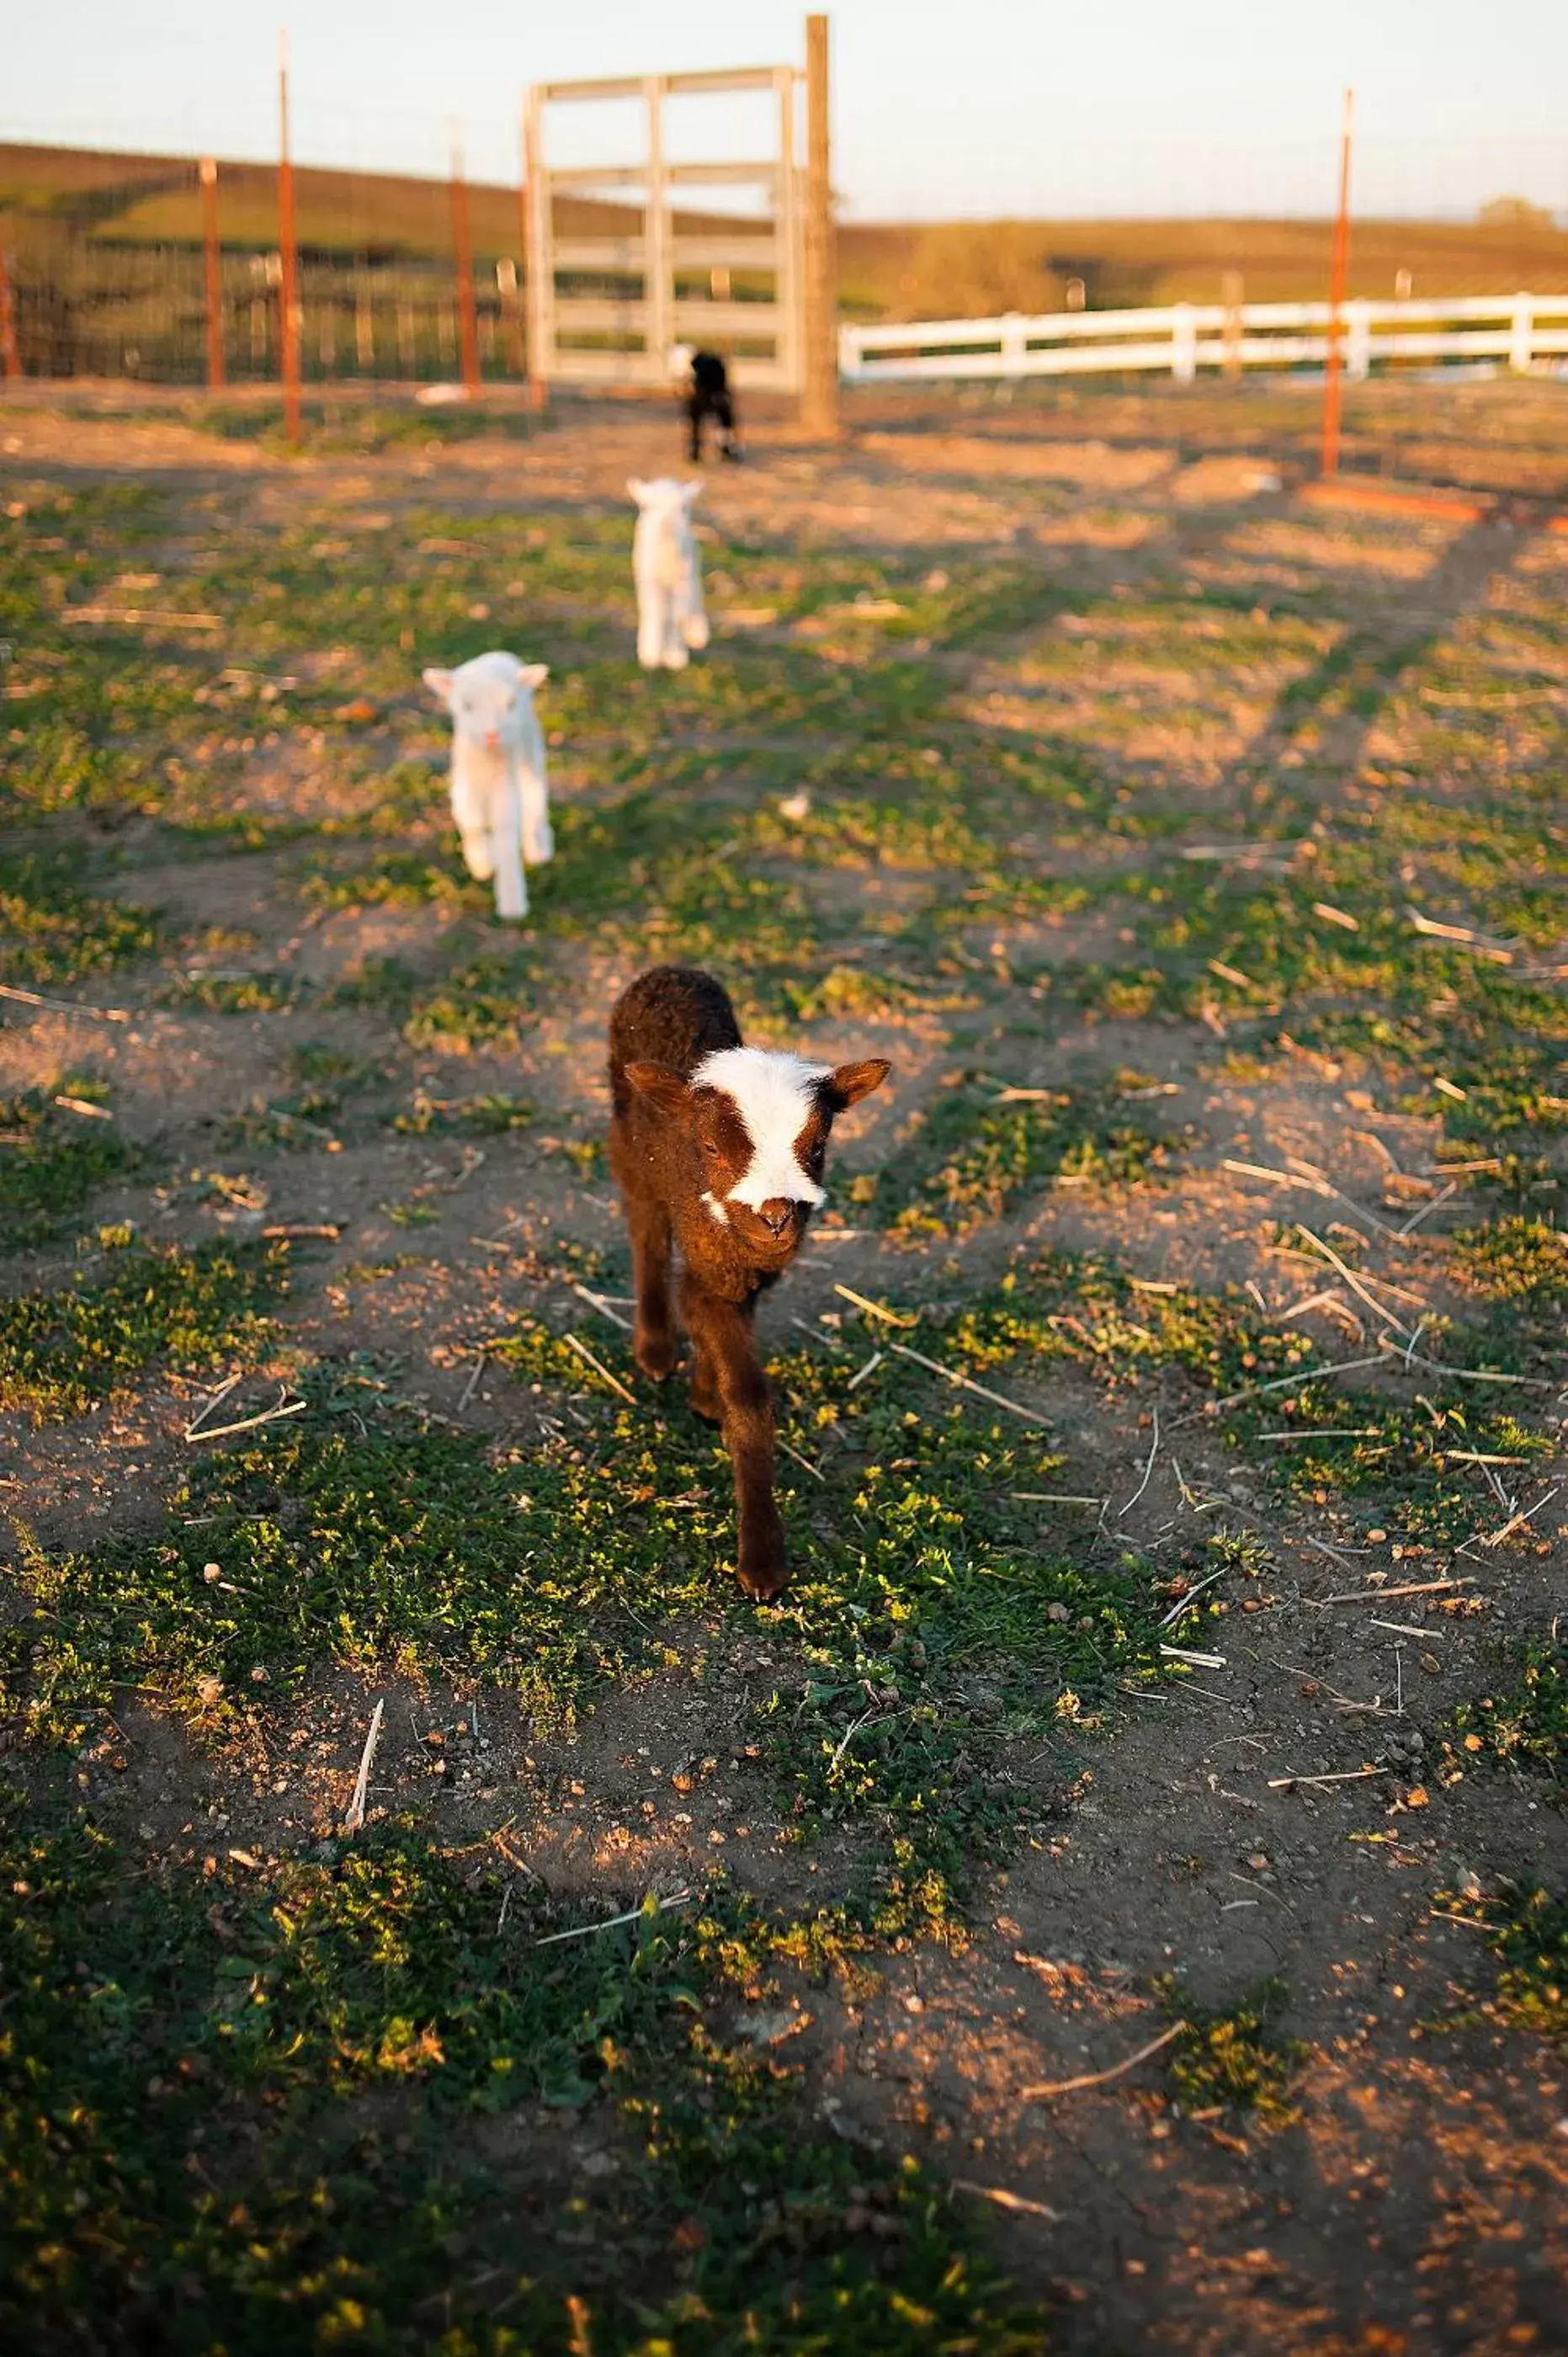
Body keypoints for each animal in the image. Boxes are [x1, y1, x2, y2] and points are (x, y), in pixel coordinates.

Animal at [419, 664, 554, 928]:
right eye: (466, 706)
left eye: (511, 704)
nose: (492, 735)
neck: (488, 759)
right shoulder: (462, 784)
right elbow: (470, 822)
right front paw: (481, 864)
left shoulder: (506, 788)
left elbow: (507, 837)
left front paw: (512, 905)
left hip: (530, 751)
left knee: (535, 800)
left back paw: (540, 849)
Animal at [603, 961, 886, 1603]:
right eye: (710, 1147)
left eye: (817, 1146)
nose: (776, 1215)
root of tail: (671, 969)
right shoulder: (711, 1266)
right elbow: (750, 1397)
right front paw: (762, 1565)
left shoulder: (747, 1272)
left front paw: (707, 1396)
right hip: (627, 1145)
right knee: (645, 1232)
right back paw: (654, 1349)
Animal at [631, 473, 712, 669]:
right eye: (649, 507)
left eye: (683, 508)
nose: (667, 526)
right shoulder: (651, 580)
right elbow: (656, 614)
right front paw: (651, 655)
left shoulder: (682, 581)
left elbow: (677, 616)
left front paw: (675, 657)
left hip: (692, 569)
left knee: (695, 599)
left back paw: (697, 634)